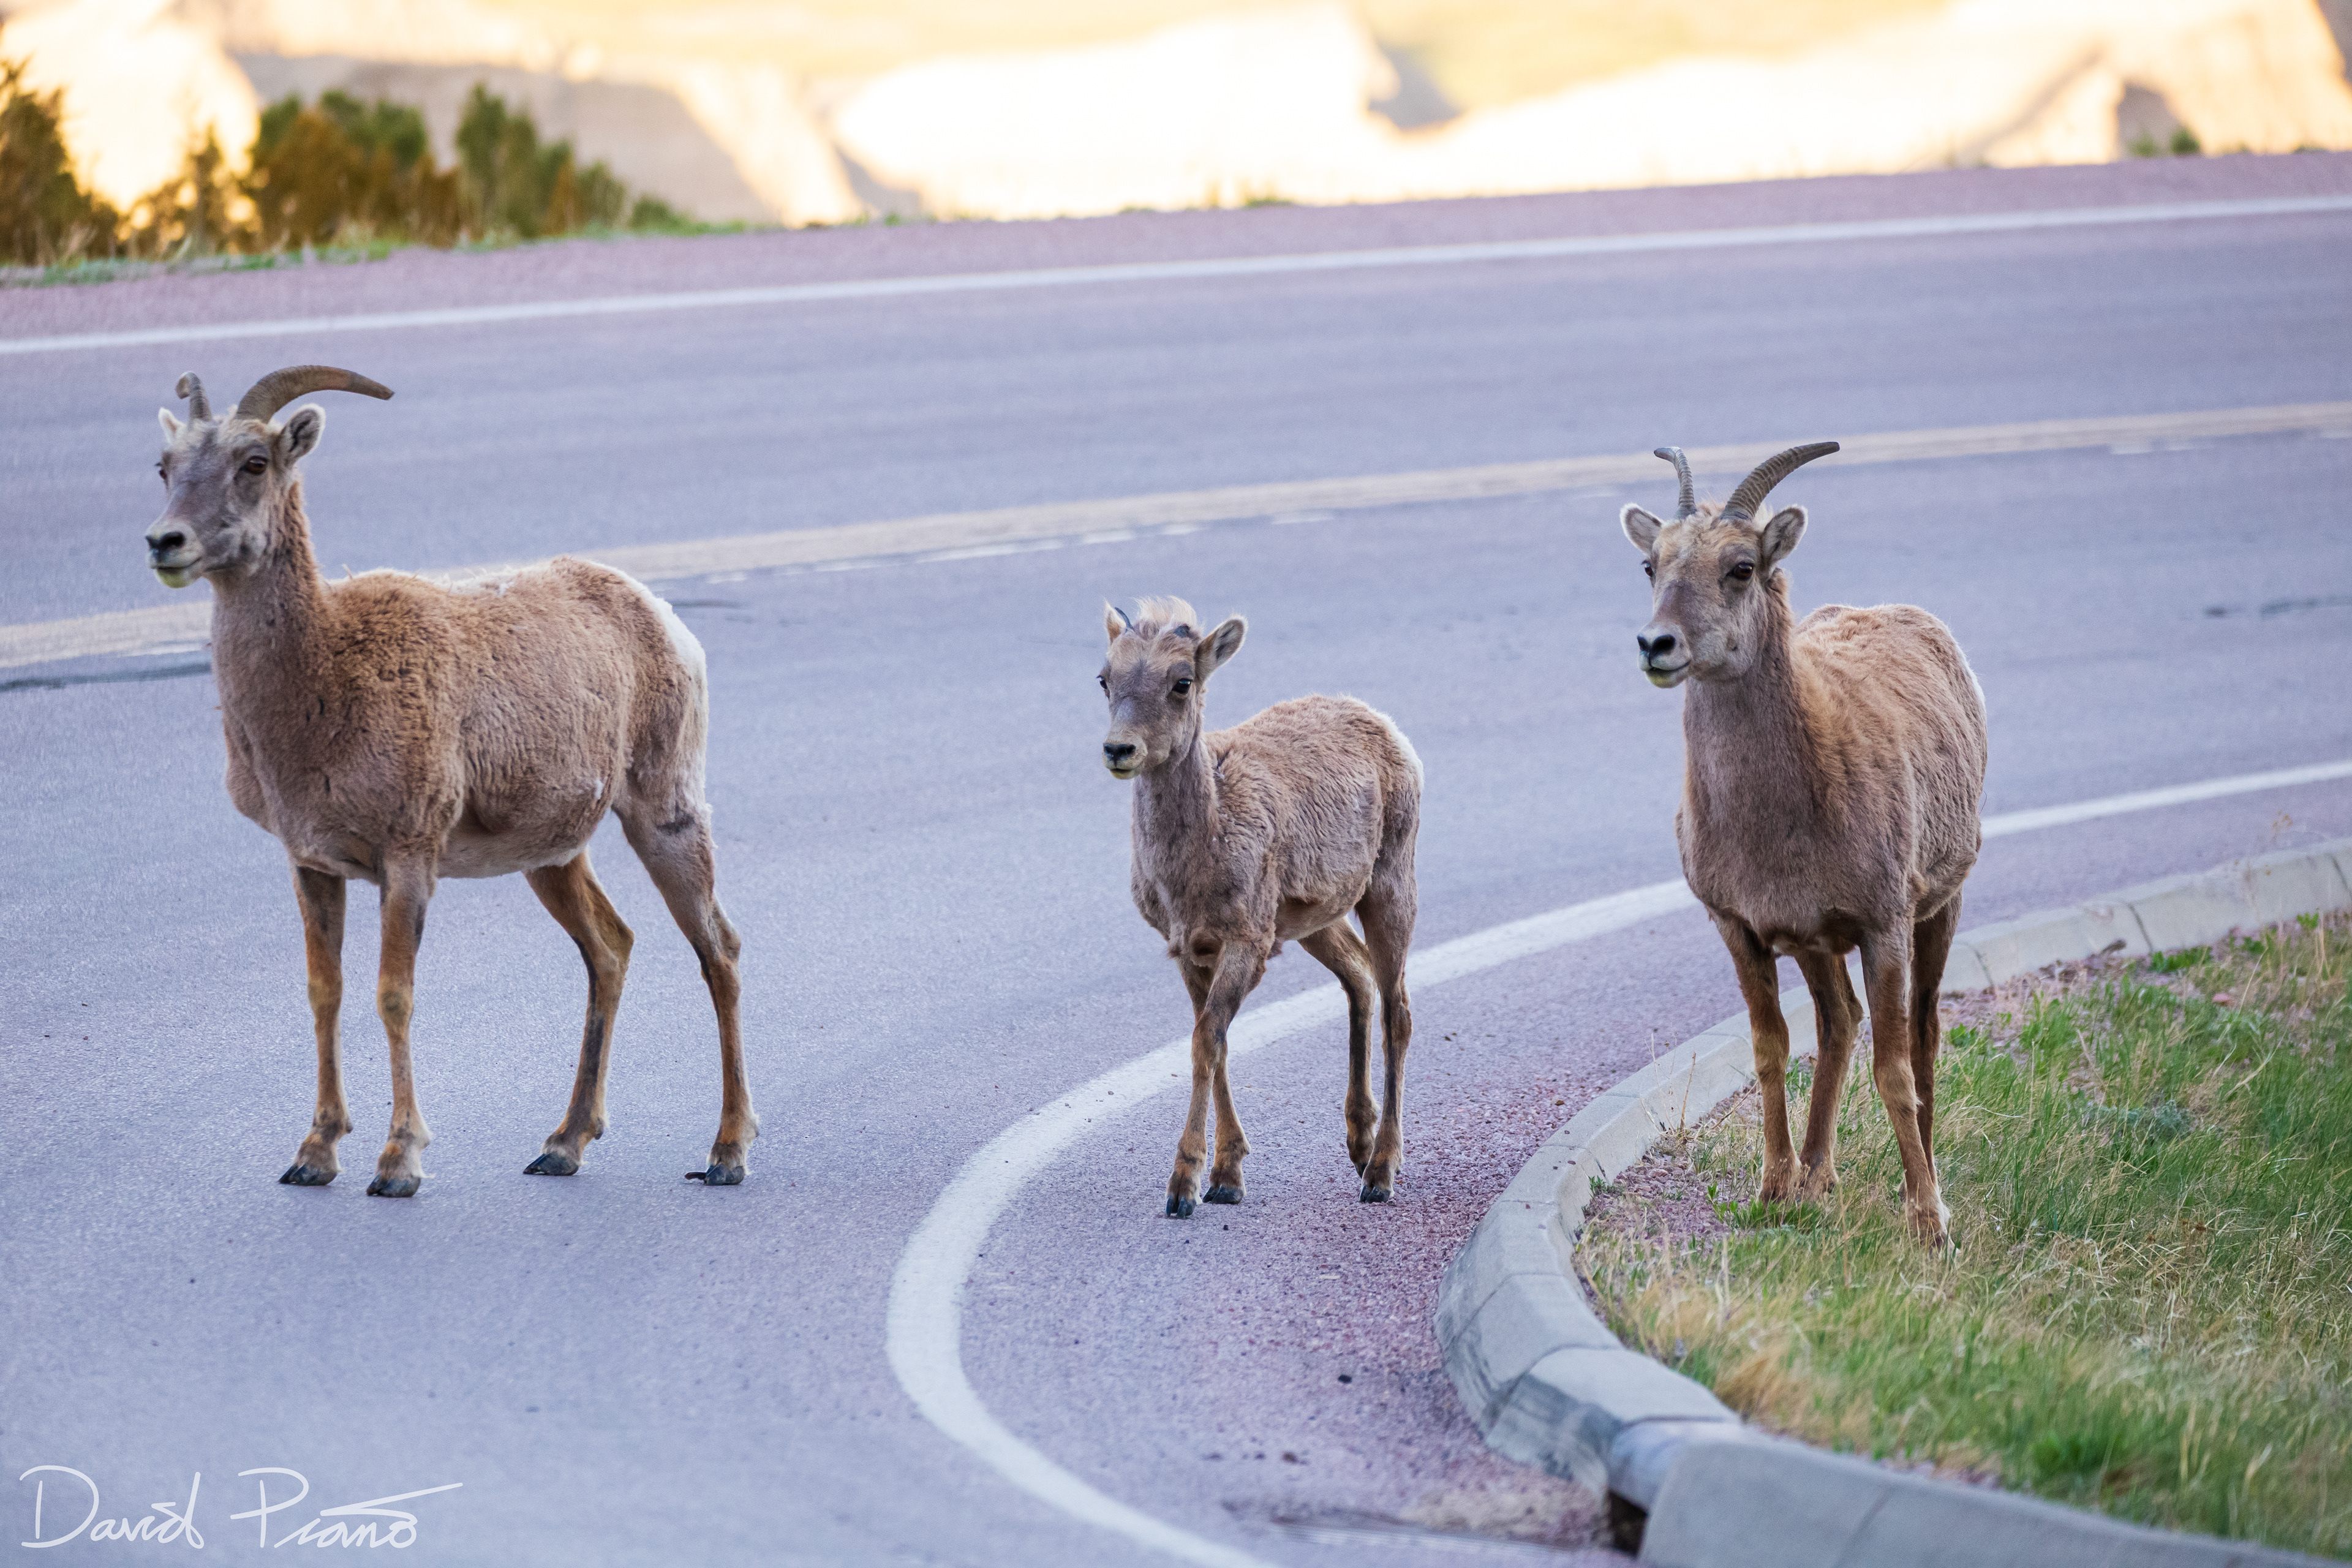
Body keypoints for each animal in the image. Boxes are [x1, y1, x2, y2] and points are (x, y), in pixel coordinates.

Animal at [144, 365, 756, 1196]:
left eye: (255, 463)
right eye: (165, 467)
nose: (165, 543)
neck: (323, 682)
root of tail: (662, 617)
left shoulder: (408, 860)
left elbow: (393, 996)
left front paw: (398, 1163)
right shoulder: (312, 865)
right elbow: (325, 994)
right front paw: (315, 1154)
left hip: (664, 814)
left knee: (717, 950)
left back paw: (726, 1153)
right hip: (553, 857)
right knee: (611, 948)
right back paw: (562, 1145)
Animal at [1098, 597, 1421, 1216]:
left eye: (1182, 681)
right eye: (1104, 678)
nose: (1119, 750)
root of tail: (1391, 729)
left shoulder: (1247, 939)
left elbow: (1206, 1041)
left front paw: (1185, 1186)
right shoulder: (1190, 947)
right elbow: (1214, 1042)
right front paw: (1227, 1176)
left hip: (1391, 884)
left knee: (1399, 1009)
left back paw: (1381, 1172)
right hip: (1314, 920)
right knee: (1359, 977)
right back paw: (1358, 1142)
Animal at [1621, 444, 1986, 1245]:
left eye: (1741, 567)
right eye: (1650, 564)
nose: (1657, 646)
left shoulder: (1885, 924)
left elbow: (1895, 1069)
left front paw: (1929, 1223)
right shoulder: (1742, 928)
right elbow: (1772, 1050)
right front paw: (1773, 1190)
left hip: (1940, 907)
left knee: (1923, 1035)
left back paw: (1923, 1176)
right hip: (1818, 944)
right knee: (1839, 1021)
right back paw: (1819, 1175)